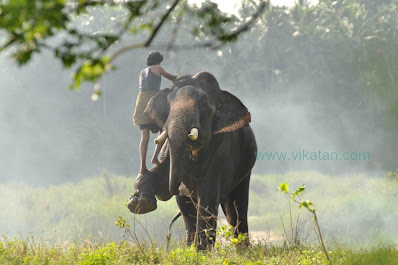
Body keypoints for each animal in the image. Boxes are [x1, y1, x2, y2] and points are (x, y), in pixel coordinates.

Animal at [128, 70, 258, 248]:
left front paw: (201, 251)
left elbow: (208, 198)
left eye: (203, 103)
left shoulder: (222, 151)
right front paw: (139, 203)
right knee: (188, 213)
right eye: (168, 103)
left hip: (244, 170)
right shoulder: (168, 147)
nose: (176, 189)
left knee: (236, 209)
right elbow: (161, 174)